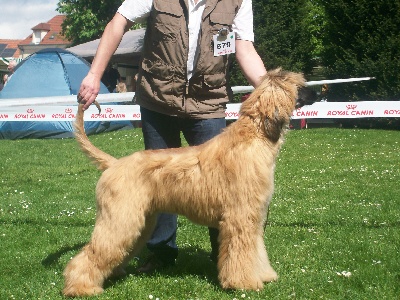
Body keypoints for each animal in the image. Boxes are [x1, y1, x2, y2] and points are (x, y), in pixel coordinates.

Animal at [64, 69, 304, 296]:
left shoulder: (253, 216)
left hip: (140, 220)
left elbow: (257, 250)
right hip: (121, 218)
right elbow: (241, 253)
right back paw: (81, 287)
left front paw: (264, 275)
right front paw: (242, 283)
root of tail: (113, 164)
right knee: (91, 253)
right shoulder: (240, 217)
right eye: (299, 86)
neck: (254, 137)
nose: (309, 94)